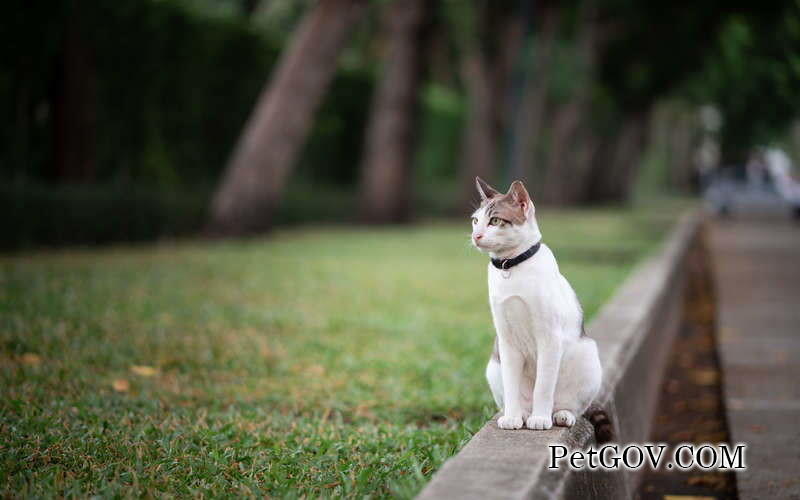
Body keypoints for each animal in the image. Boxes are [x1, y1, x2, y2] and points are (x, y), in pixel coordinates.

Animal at [472, 177, 608, 442]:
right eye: (475, 220)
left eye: (495, 221)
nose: (476, 235)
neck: (510, 267)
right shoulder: (506, 340)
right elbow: (512, 385)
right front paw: (512, 418)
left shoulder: (549, 337)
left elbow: (543, 387)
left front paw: (540, 418)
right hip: (494, 365)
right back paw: (522, 413)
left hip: (589, 357)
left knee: (570, 405)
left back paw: (559, 415)